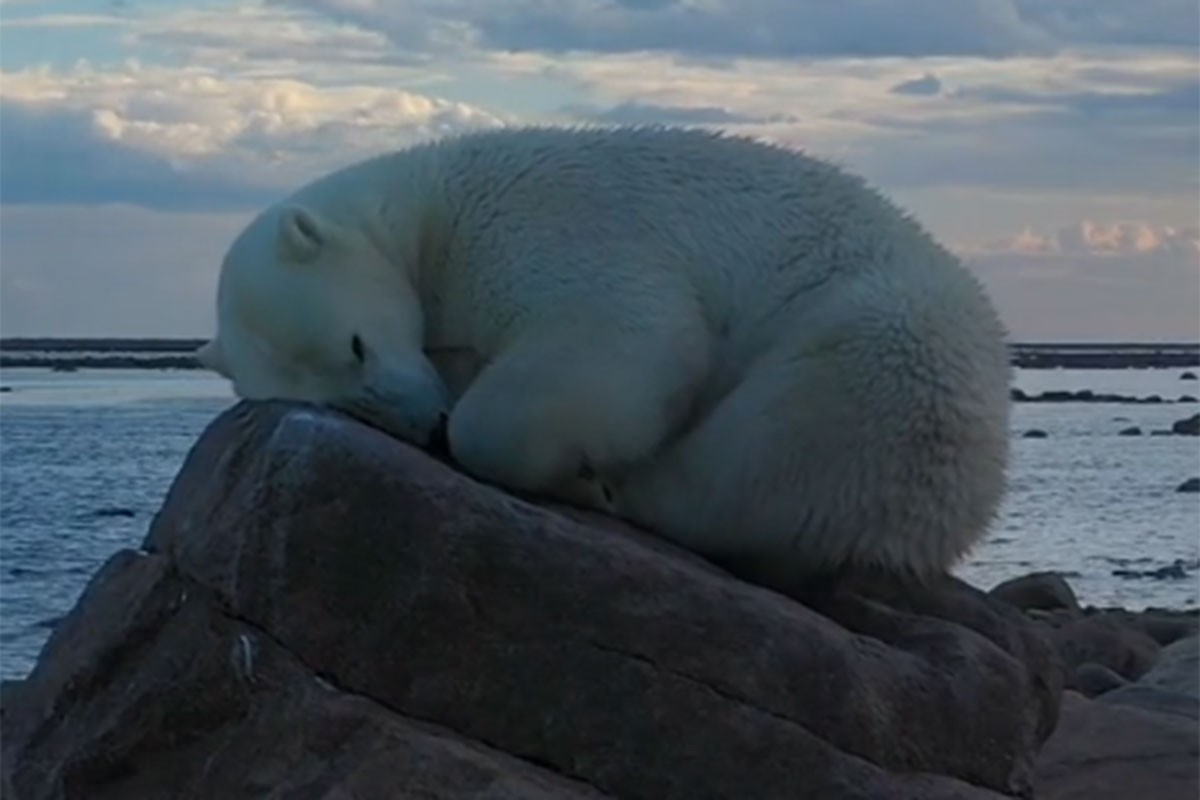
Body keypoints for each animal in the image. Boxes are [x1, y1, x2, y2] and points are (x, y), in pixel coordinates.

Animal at [196, 126, 1012, 587]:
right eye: (339, 400)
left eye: (356, 344)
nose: (427, 424)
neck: (433, 203)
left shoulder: (540, 220)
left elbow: (629, 333)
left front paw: (503, 436)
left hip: (887, 352)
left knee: (765, 450)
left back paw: (619, 486)